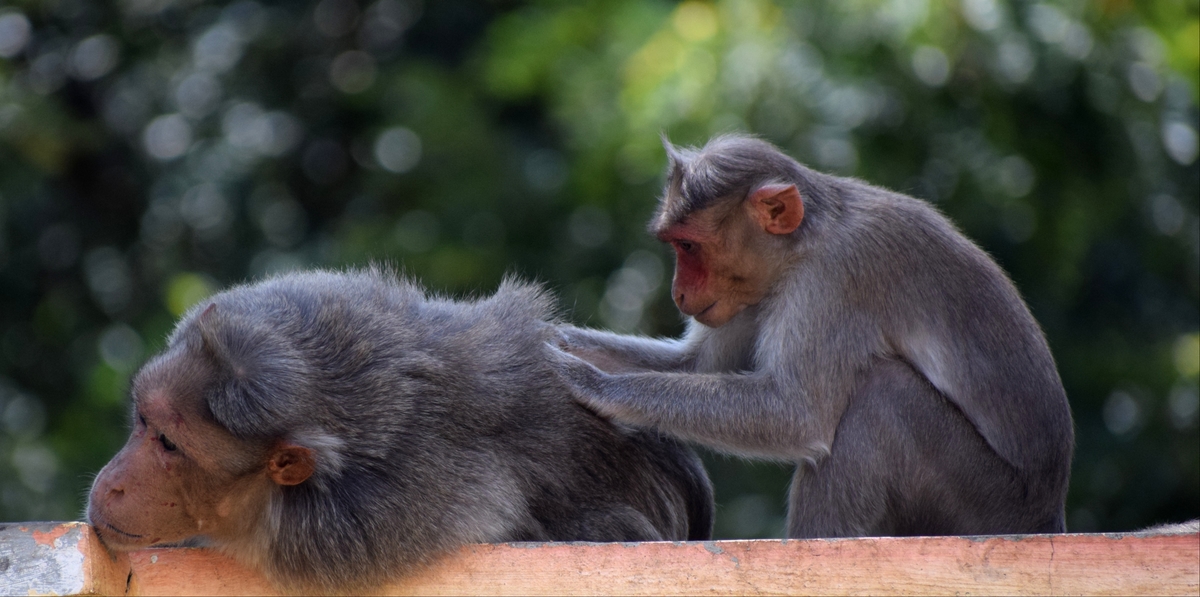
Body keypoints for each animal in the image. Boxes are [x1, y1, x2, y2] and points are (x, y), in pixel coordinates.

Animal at [550, 133, 1075, 538]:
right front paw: (549, 336)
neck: (801, 245)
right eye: (675, 244)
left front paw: (595, 386)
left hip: (984, 505)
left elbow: (797, 413)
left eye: (689, 246)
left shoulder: (835, 280)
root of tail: (1046, 515)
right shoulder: (751, 293)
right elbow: (695, 367)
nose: (678, 292)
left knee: (881, 394)